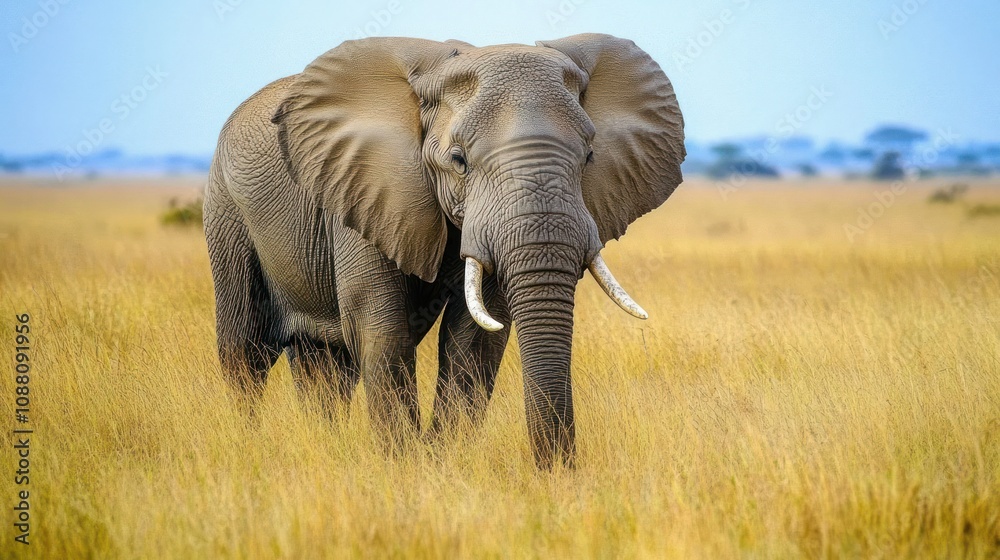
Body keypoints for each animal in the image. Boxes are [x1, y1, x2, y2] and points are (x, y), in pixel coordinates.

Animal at [204, 33, 685, 468]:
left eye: (588, 157)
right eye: (459, 161)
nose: (558, 474)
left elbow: (476, 337)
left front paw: (442, 461)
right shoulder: (362, 185)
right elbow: (379, 327)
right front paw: (404, 469)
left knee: (325, 368)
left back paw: (323, 443)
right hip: (227, 211)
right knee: (247, 350)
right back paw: (247, 444)